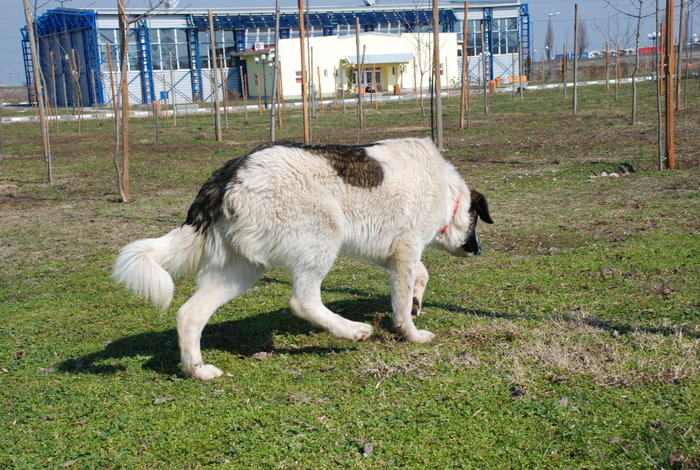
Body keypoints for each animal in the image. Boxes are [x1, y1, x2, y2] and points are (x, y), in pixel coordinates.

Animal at [112, 138, 492, 380]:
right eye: (477, 221)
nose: (478, 250)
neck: (449, 193)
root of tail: (230, 172)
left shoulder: (389, 253)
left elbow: (419, 277)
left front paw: (415, 302)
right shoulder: (406, 248)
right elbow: (402, 301)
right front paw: (411, 333)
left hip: (241, 270)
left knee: (189, 314)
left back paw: (198, 371)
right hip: (323, 237)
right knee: (302, 300)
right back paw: (352, 331)